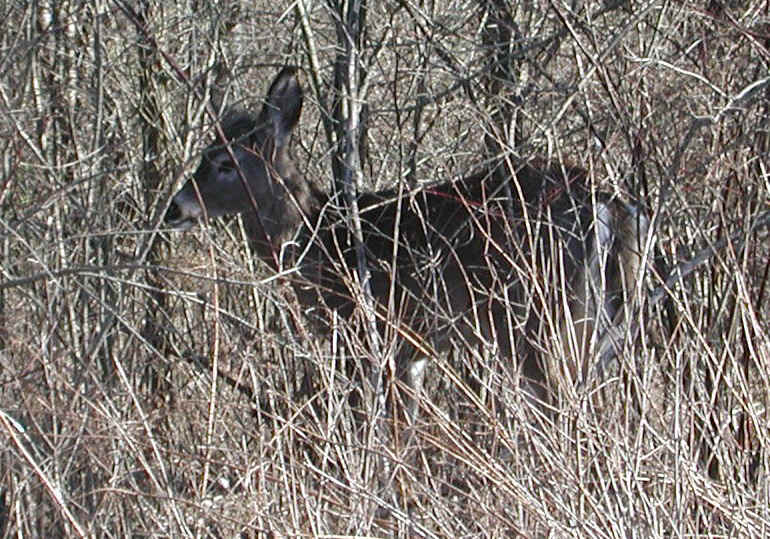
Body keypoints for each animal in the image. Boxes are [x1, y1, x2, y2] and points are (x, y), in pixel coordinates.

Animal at [165, 67, 650, 422]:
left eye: (225, 163)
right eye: (203, 154)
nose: (175, 207)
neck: (318, 237)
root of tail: (612, 205)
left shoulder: (367, 336)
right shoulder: (412, 351)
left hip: (539, 318)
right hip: (607, 326)